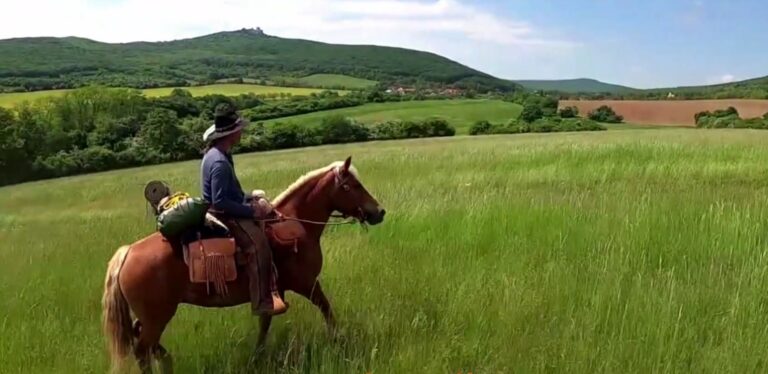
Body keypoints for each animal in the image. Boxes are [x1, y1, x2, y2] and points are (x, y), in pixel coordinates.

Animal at [102, 156, 388, 372]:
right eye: (352, 186)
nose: (379, 212)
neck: (297, 224)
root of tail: (127, 253)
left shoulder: (272, 290)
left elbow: (265, 323)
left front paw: (257, 356)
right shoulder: (307, 284)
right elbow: (327, 309)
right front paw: (340, 340)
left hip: (153, 315)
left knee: (141, 338)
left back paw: (167, 360)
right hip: (158, 315)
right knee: (142, 348)